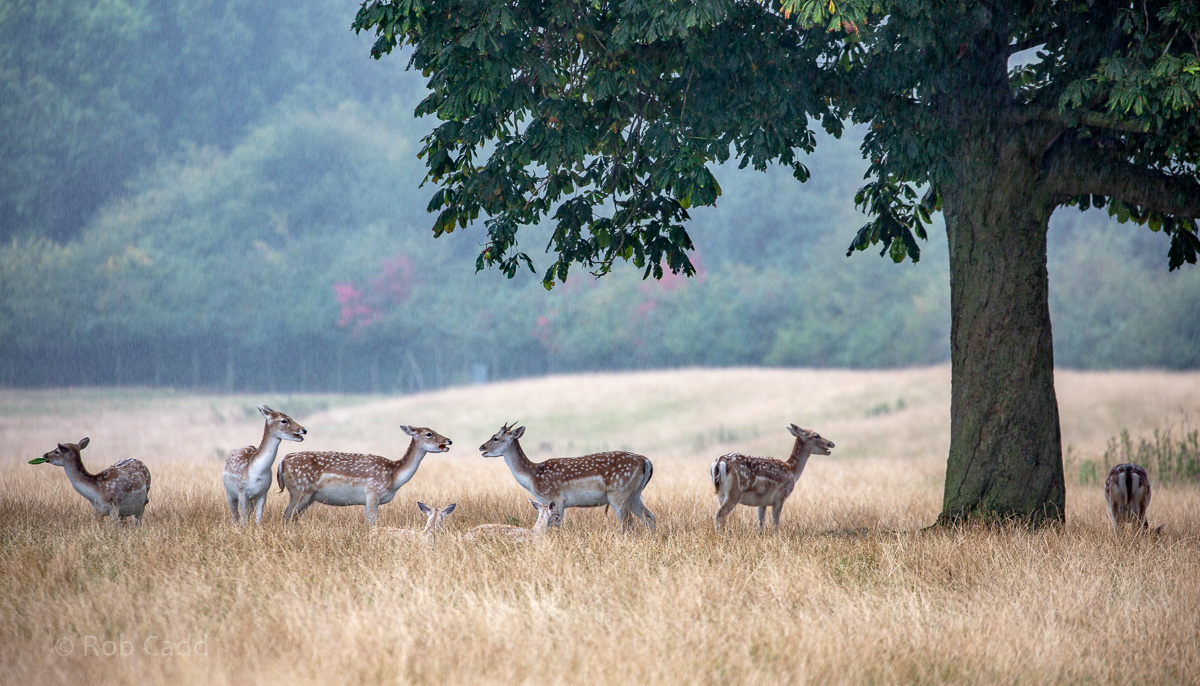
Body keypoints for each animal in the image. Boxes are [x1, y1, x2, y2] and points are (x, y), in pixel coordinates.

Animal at [277, 424, 452, 525]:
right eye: (429, 433)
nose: (448, 440)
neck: (394, 477)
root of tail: (282, 462)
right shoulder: (373, 492)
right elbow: (373, 523)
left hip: (309, 496)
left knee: (293, 518)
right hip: (299, 489)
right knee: (286, 515)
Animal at [478, 422, 656, 531]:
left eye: (496, 438)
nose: (481, 447)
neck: (532, 477)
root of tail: (646, 461)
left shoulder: (556, 497)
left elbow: (556, 524)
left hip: (619, 493)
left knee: (628, 523)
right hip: (635, 494)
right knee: (649, 517)